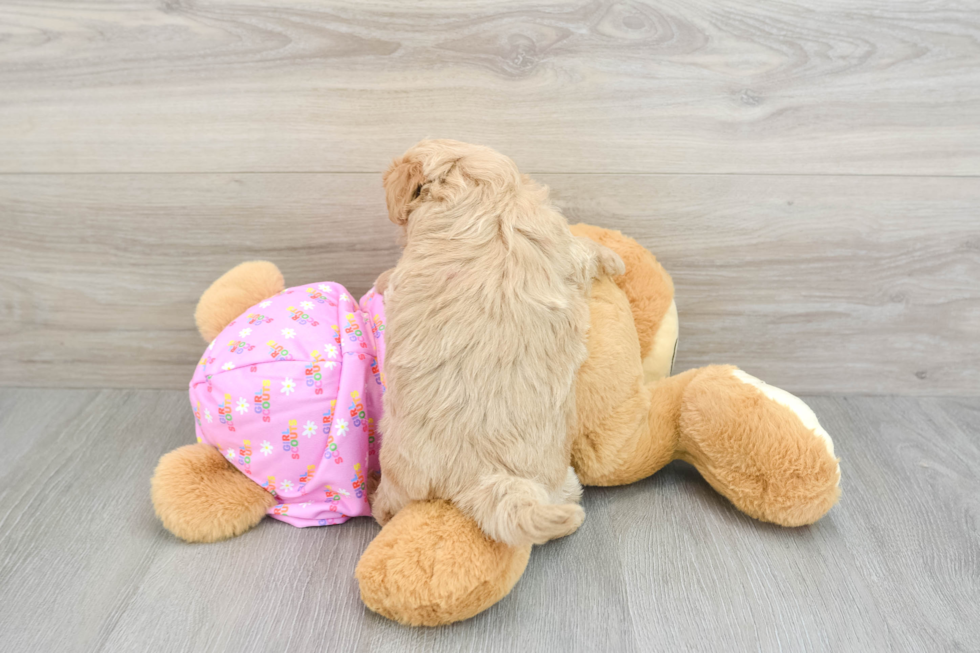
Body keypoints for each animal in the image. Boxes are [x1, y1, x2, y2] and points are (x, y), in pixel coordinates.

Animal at [372, 140, 624, 548]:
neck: (483, 193)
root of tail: (481, 477)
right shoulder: (560, 242)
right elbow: (584, 249)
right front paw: (614, 258)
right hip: (557, 482)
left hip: (402, 478)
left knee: (390, 507)